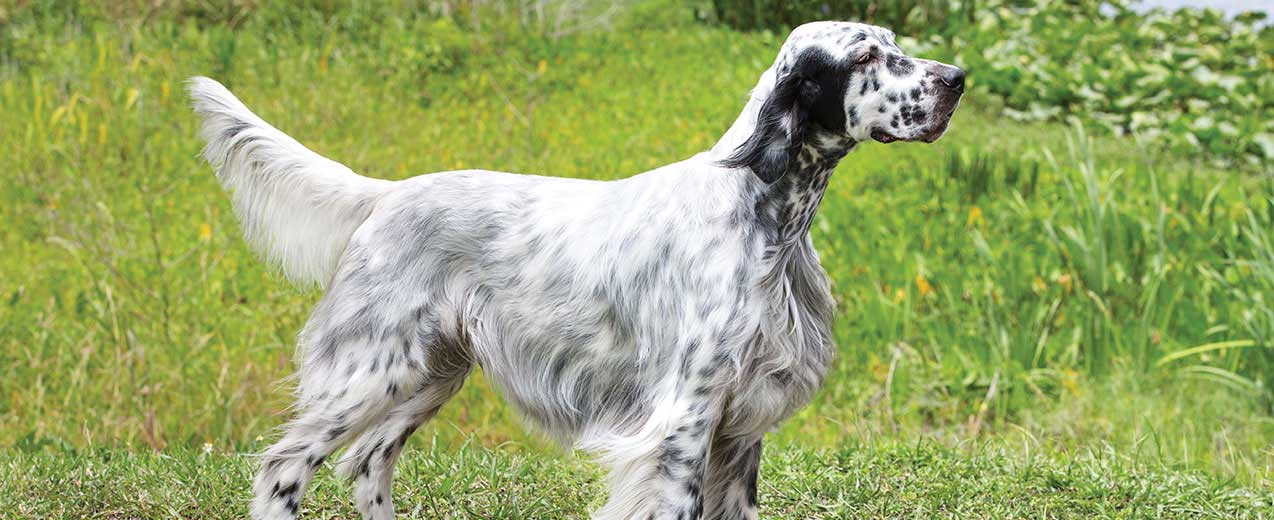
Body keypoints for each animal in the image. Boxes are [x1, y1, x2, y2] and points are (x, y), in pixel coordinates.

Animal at [191, 20, 963, 520]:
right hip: (372, 368)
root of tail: (385, 194)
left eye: (897, 44)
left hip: (431, 371)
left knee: (370, 463)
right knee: (285, 466)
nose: (956, 79)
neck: (762, 208)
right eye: (868, 55)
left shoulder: (740, 427)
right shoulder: (681, 421)